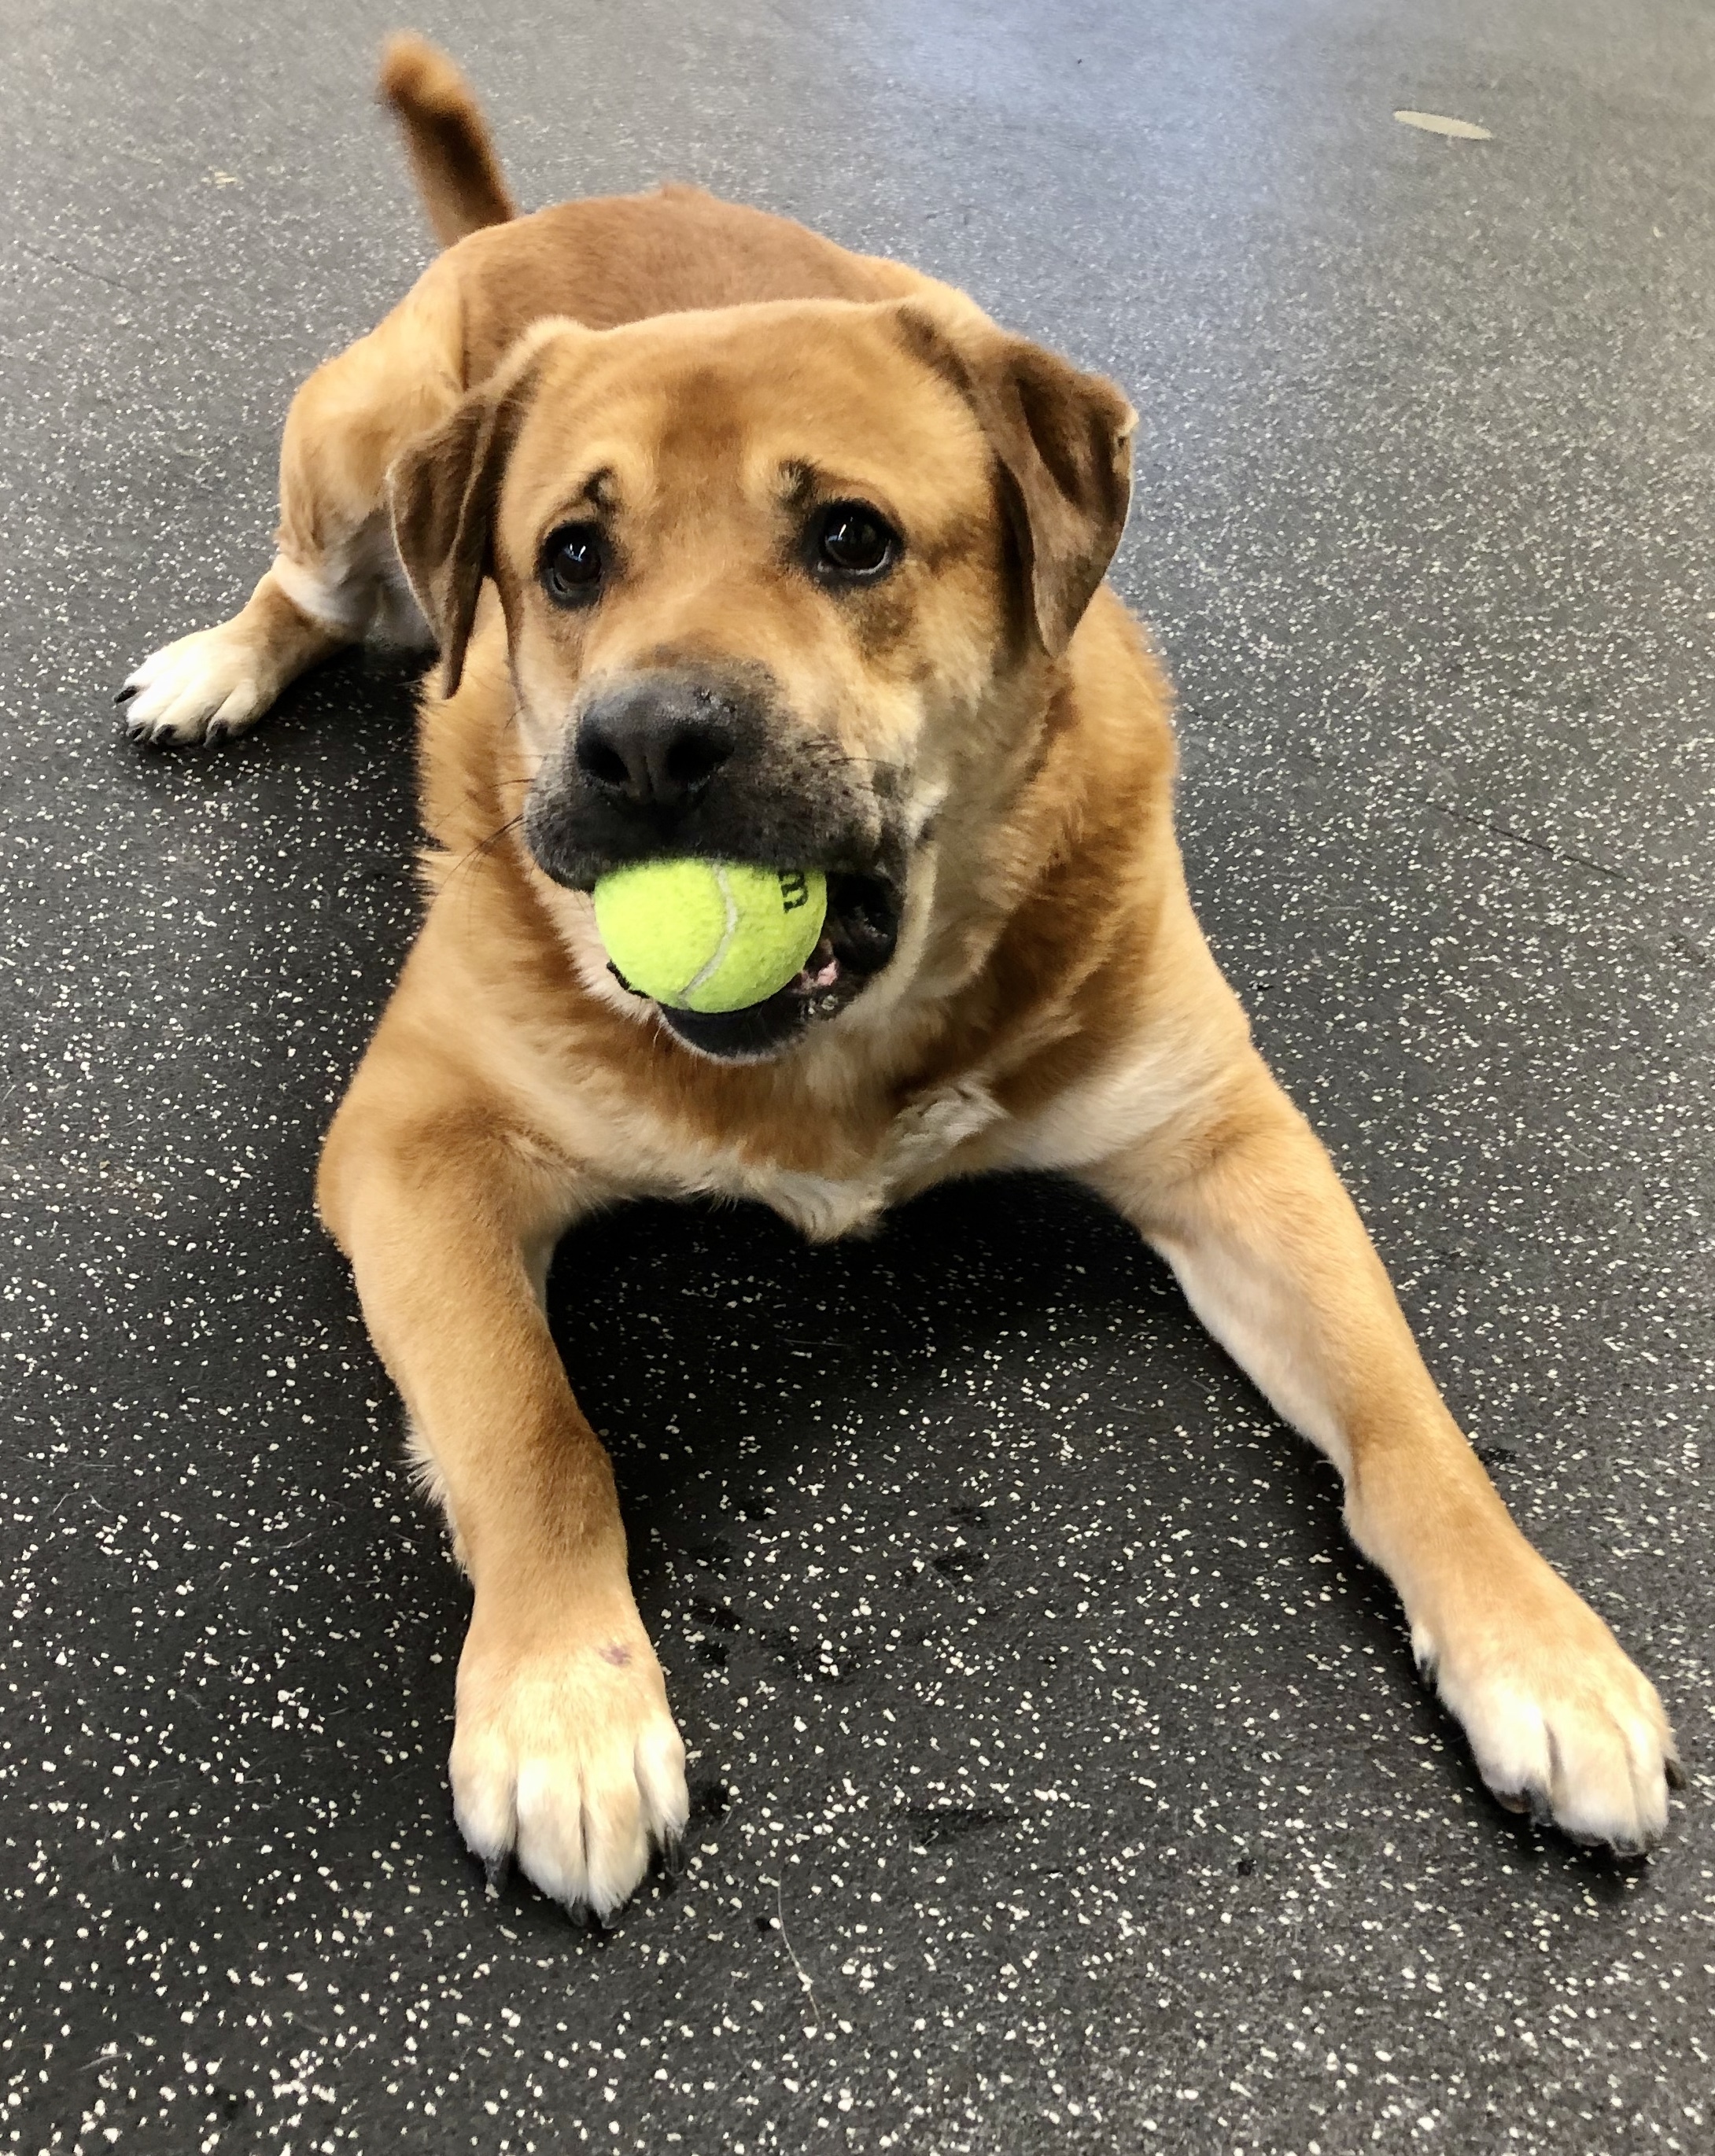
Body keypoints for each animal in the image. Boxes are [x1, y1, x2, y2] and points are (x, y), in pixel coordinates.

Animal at [124, 38, 1691, 1922]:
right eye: (570, 558)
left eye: (855, 540)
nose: (644, 746)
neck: (846, 1039)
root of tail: (528, 226)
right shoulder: (414, 1147)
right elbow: (532, 1433)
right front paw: (567, 1699)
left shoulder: (1228, 1143)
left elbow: (1406, 1419)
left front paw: (1538, 1645)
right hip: (355, 444)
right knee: (306, 588)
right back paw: (216, 665)